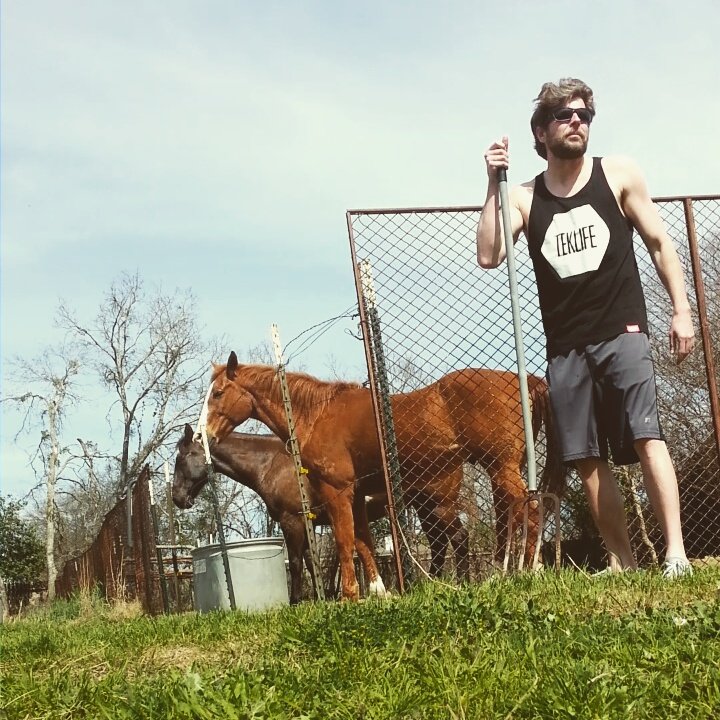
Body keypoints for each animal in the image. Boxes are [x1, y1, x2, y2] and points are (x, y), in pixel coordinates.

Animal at [172, 424, 390, 603]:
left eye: (181, 458)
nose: (177, 498)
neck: (273, 464)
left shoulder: (292, 521)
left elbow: (295, 563)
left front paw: (295, 601)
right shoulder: (308, 525)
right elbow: (312, 563)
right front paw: (320, 599)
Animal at [204, 352, 564, 601]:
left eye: (218, 392)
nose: (206, 436)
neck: (317, 413)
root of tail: (527, 380)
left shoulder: (335, 492)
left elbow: (344, 541)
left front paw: (349, 596)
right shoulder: (356, 495)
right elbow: (363, 541)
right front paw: (379, 591)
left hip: (495, 472)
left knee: (529, 509)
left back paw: (530, 570)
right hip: (496, 471)